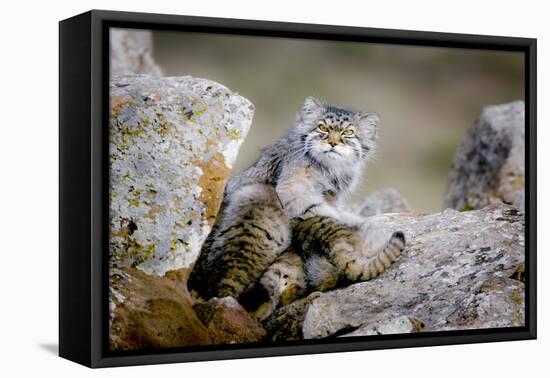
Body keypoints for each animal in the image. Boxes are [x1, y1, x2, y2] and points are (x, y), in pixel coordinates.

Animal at [188, 95, 408, 318]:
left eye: (348, 132)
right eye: (322, 128)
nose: (332, 143)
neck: (329, 169)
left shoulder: (331, 196)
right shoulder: (294, 187)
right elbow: (318, 208)